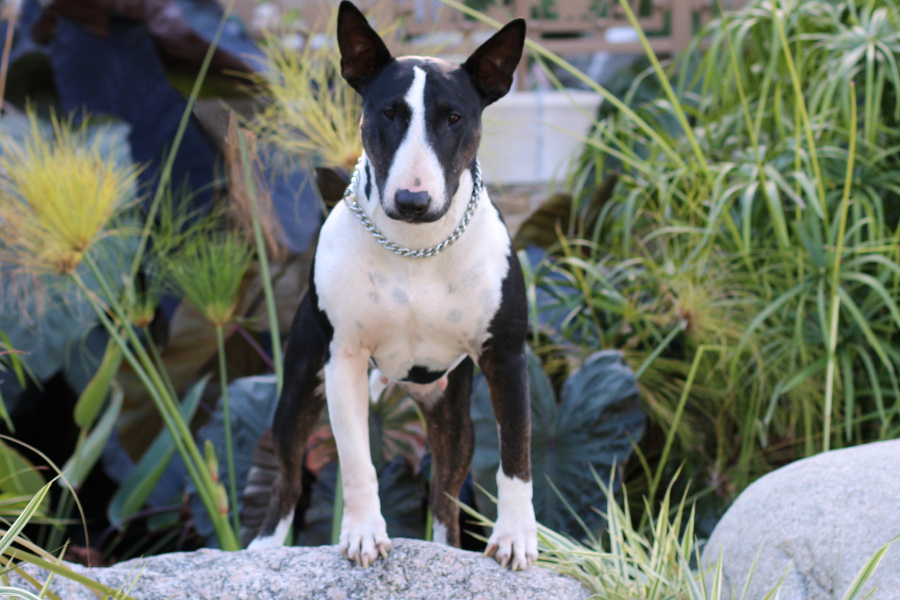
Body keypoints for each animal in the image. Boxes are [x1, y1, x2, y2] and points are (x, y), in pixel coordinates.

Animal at [250, 1, 536, 572]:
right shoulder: (344, 358)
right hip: (299, 384)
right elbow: (356, 459)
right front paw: (363, 533)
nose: (412, 200)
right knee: (288, 472)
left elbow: (515, 453)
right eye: (388, 113)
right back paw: (263, 546)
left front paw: (515, 537)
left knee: (447, 491)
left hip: (451, 410)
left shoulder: (506, 355)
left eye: (454, 117)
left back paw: (447, 547)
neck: (415, 248)